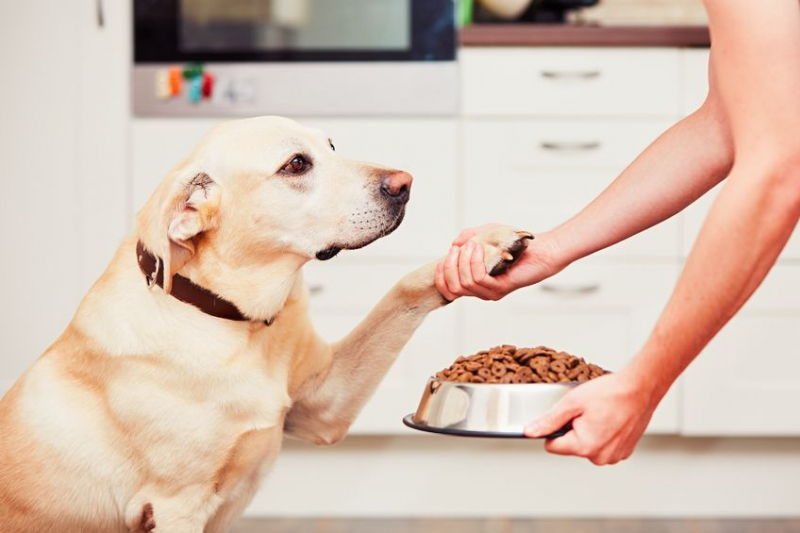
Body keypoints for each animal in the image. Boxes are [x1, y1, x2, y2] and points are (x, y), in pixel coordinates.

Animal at [0, 114, 532, 528]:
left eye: (332, 145)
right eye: (296, 164)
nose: (406, 183)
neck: (233, 319)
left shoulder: (323, 406)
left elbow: (400, 290)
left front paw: (484, 247)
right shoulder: (176, 506)